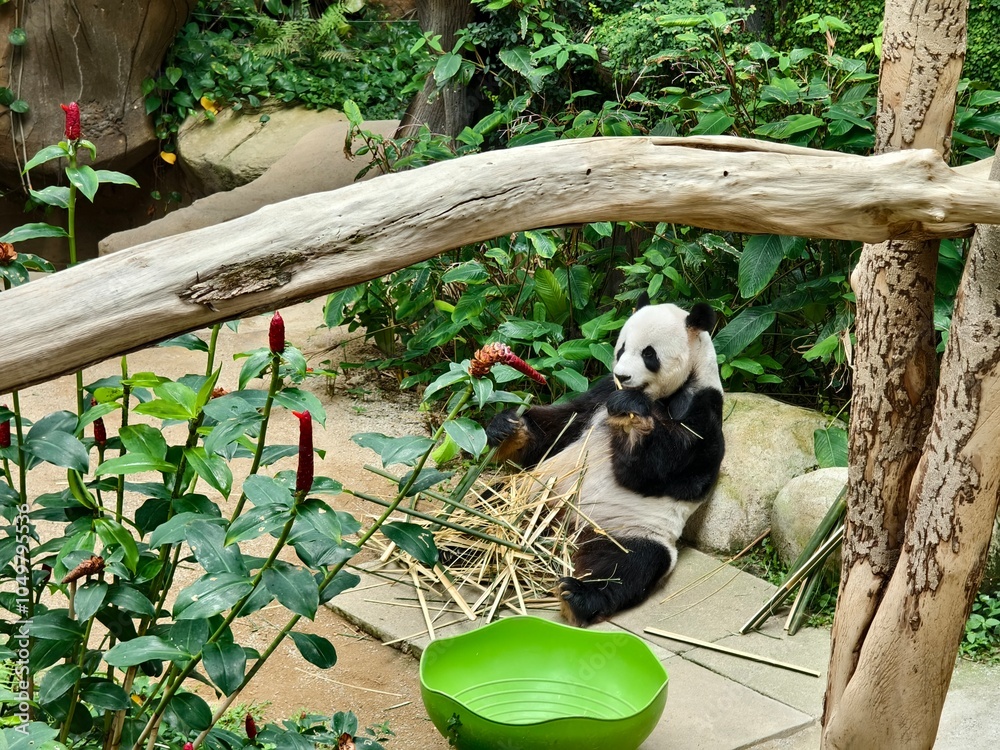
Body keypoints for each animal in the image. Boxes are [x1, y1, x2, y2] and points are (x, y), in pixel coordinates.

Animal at [486, 299, 725, 626]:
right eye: (621, 348)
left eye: (649, 354)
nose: (622, 376)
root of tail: (562, 533)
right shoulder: (600, 394)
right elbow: (559, 428)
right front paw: (507, 428)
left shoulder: (703, 409)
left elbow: (665, 470)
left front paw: (632, 415)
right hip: (533, 496)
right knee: (489, 501)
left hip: (628, 529)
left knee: (628, 564)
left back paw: (577, 596)